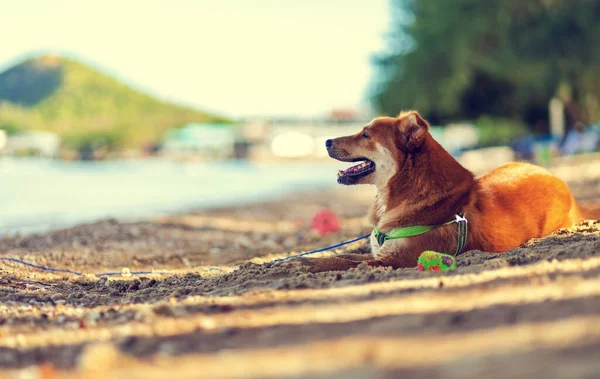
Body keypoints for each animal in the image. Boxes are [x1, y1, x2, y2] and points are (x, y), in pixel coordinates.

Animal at [288, 110, 596, 274]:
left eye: (365, 135)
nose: (326, 141)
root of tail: (568, 190)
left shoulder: (394, 259)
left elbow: (342, 260)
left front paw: (305, 265)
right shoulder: (379, 252)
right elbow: (349, 257)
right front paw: (303, 259)